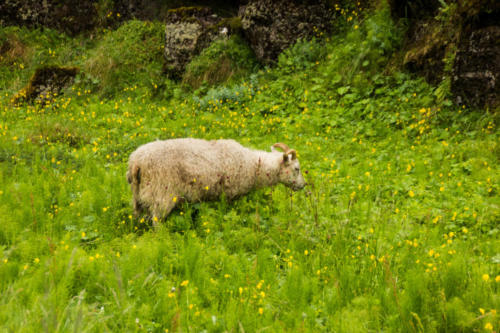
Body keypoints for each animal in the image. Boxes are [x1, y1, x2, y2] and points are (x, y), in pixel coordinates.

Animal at [126, 137, 304, 220]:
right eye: (296, 168)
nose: (304, 185)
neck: (254, 165)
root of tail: (137, 161)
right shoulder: (230, 194)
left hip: (138, 194)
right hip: (161, 191)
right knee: (156, 219)